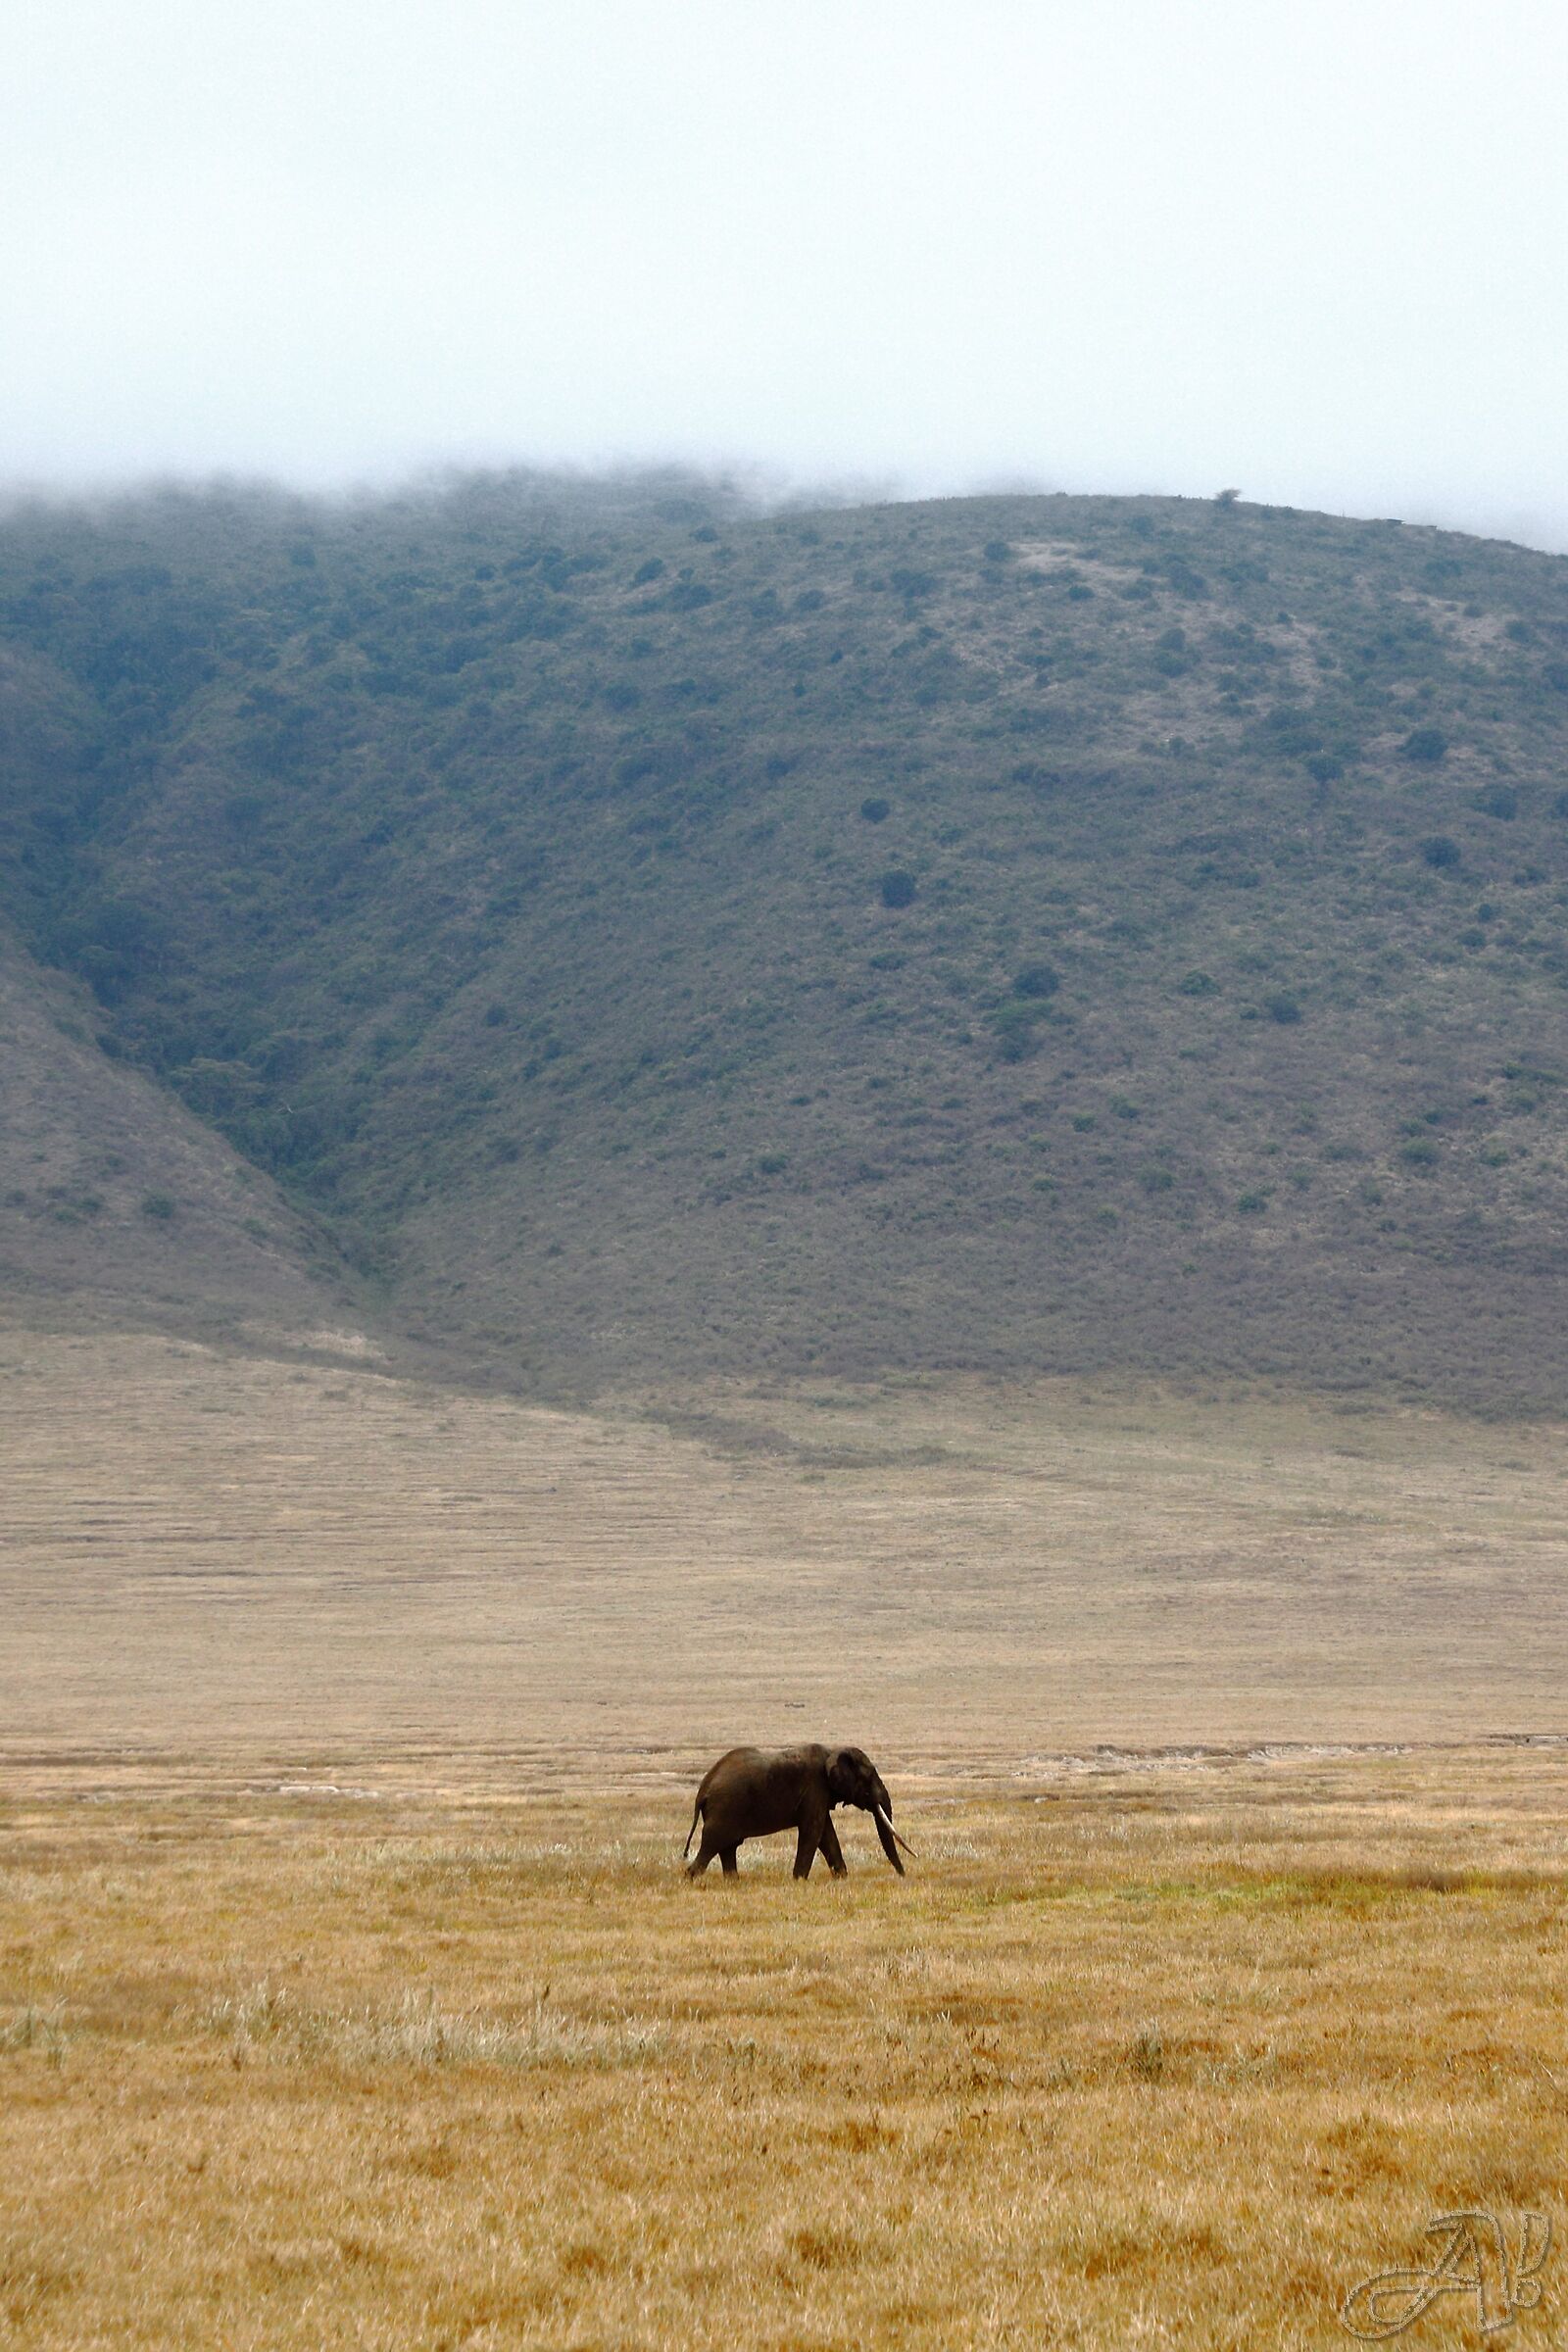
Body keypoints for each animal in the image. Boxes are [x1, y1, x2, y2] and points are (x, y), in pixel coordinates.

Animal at [682, 1743, 914, 1880]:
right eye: (869, 1778)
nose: (903, 1876)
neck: (832, 1751)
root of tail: (703, 1789)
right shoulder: (815, 1789)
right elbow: (813, 1832)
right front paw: (799, 1880)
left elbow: (826, 1834)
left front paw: (842, 1878)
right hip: (724, 1809)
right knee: (713, 1844)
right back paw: (691, 1879)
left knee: (728, 1847)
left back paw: (733, 1882)